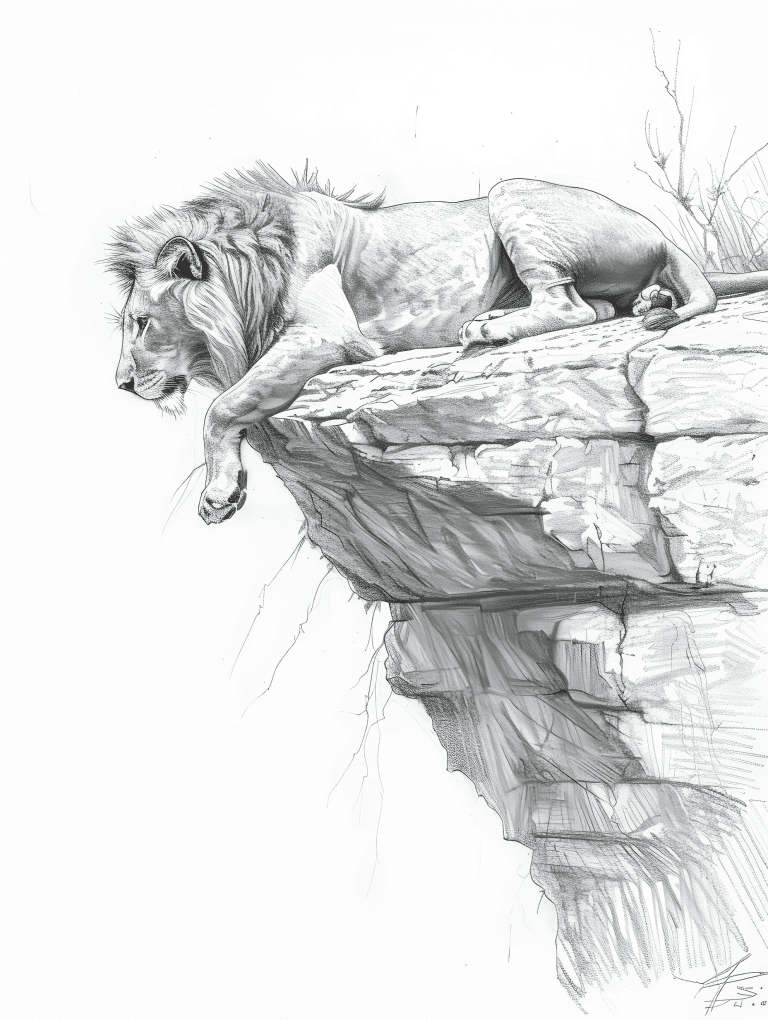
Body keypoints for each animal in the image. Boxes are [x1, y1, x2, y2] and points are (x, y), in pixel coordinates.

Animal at [107, 162, 768, 524]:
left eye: (140, 323)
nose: (121, 385)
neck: (252, 277)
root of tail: (659, 233)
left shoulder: (326, 335)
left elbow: (224, 407)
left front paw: (219, 494)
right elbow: (232, 406)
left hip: (511, 194)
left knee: (570, 305)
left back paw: (488, 327)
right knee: (599, 308)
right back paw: (645, 304)